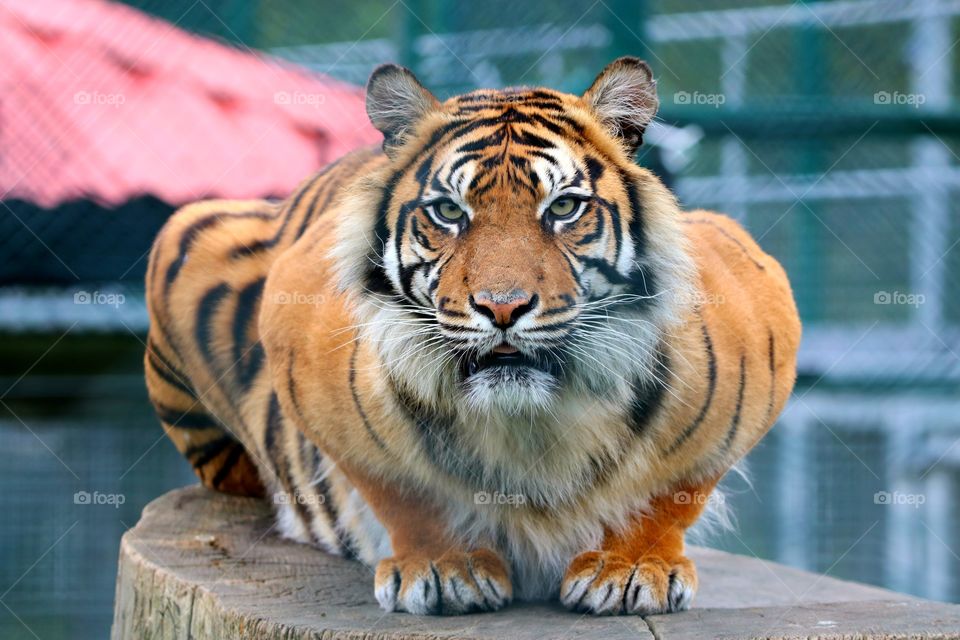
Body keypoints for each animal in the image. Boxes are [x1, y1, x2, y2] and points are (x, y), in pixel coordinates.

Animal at [144, 57, 801, 616]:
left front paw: (631, 568)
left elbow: (679, 487)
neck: (534, 424)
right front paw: (442, 568)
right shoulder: (298, 332)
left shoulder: (760, 315)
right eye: (450, 212)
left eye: (563, 208)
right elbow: (395, 484)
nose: (501, 307)